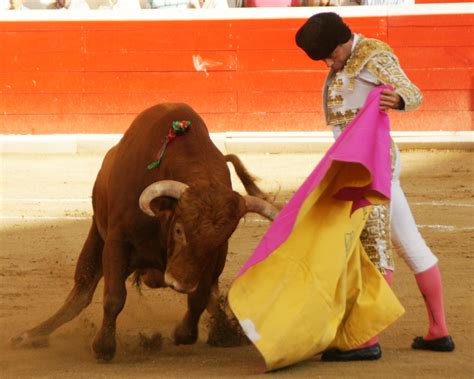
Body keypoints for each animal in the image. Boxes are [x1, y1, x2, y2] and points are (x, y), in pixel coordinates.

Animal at [11, 101, 278, 362]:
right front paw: (103, 347)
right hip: (97, 235)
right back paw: (31, 335)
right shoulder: (117, 241)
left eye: (220, 239)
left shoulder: (213, 260)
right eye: (179, 230)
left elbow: (199, 298)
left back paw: (224, 331)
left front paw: (183, 333)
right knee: (81, 291)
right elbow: (114, 296)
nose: (180, 283)